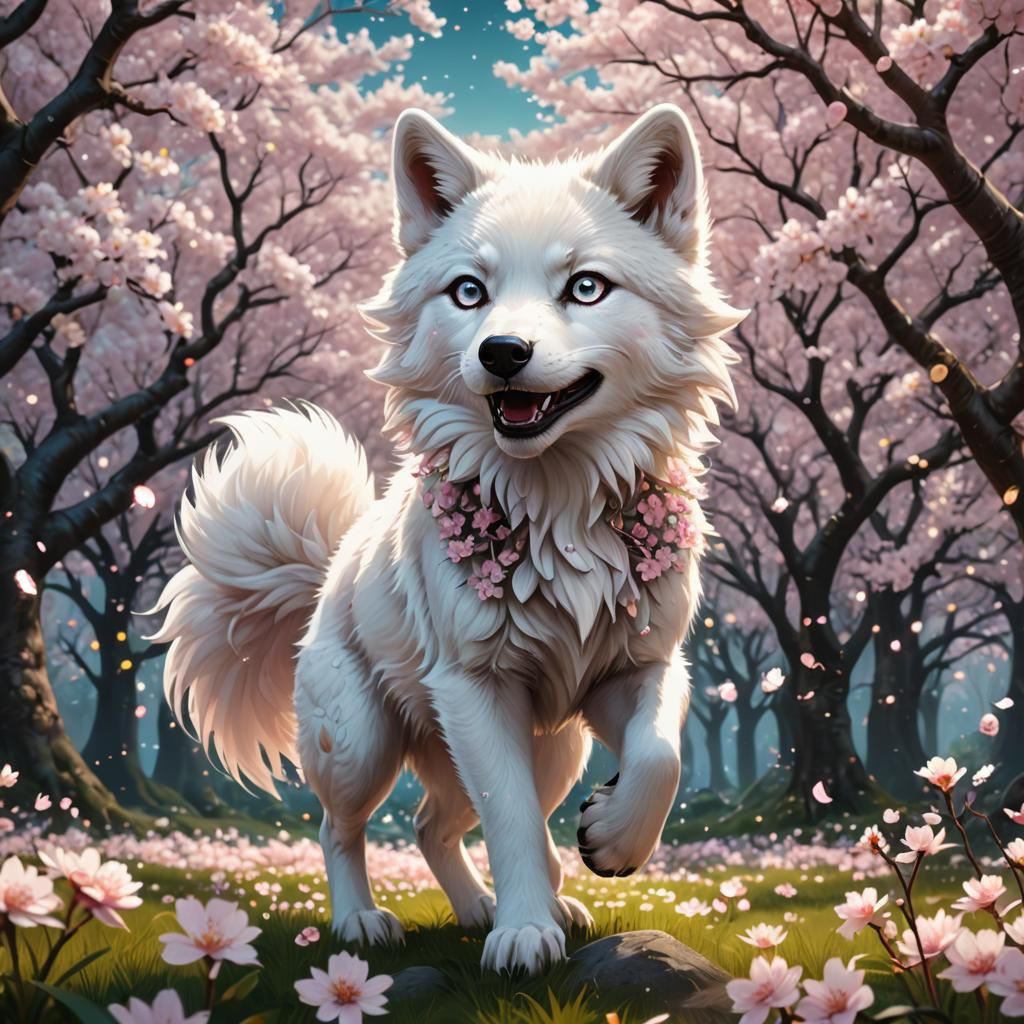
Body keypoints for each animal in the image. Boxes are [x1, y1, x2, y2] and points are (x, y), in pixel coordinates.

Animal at [152, 104, 745, 974]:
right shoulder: (475, 688)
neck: (559, 511)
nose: (502, 352)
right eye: (470, 292)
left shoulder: (637, 668)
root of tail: (328, 572)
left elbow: (658, 756)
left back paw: (499, 908)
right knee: (341, 826)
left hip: (549, 751)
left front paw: (610, 842)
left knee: (436, 825)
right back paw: (366, 922)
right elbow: (513, 824)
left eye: (586, 286)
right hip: (363, 743)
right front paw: (524, 936)